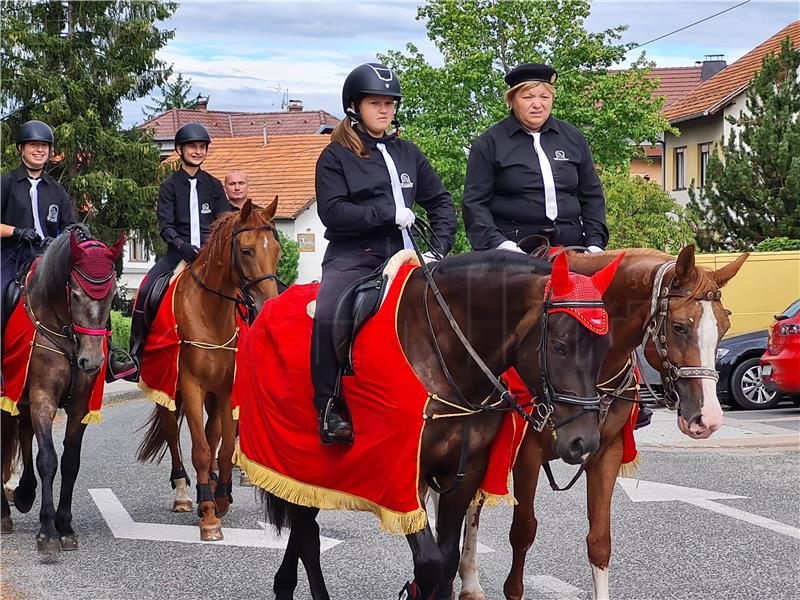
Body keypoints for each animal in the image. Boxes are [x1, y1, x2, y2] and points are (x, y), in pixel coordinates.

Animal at [1, 227, 125, 556]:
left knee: (23, 432)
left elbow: (70, 462)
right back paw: (5, 513)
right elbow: (48, 460)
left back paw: (24, 493)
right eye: (76, 294)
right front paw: (47, 532)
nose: (91, 362)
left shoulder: (79, 405)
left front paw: (65, 526)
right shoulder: (42, 397)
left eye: (111, 294)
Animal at [134, 199, 278, 540]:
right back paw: (185, 495)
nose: (268, 304)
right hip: (167, 389)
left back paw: (210, 484)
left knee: (212, 434)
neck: (209, 312)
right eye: (247, 250)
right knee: (172, 433)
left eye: (277, 249)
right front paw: (209, 515)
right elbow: (199, 448)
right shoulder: (190, 385)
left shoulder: (226, 388)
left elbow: (222, 448)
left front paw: (220, 497)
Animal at [456, 244, 752, 600]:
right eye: (680, 326)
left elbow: (599, 542)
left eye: (723, 326)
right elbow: (523, 531)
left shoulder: (606, 452)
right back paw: (470, 581)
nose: (708, 418)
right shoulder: (526, 456)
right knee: (472, 505)